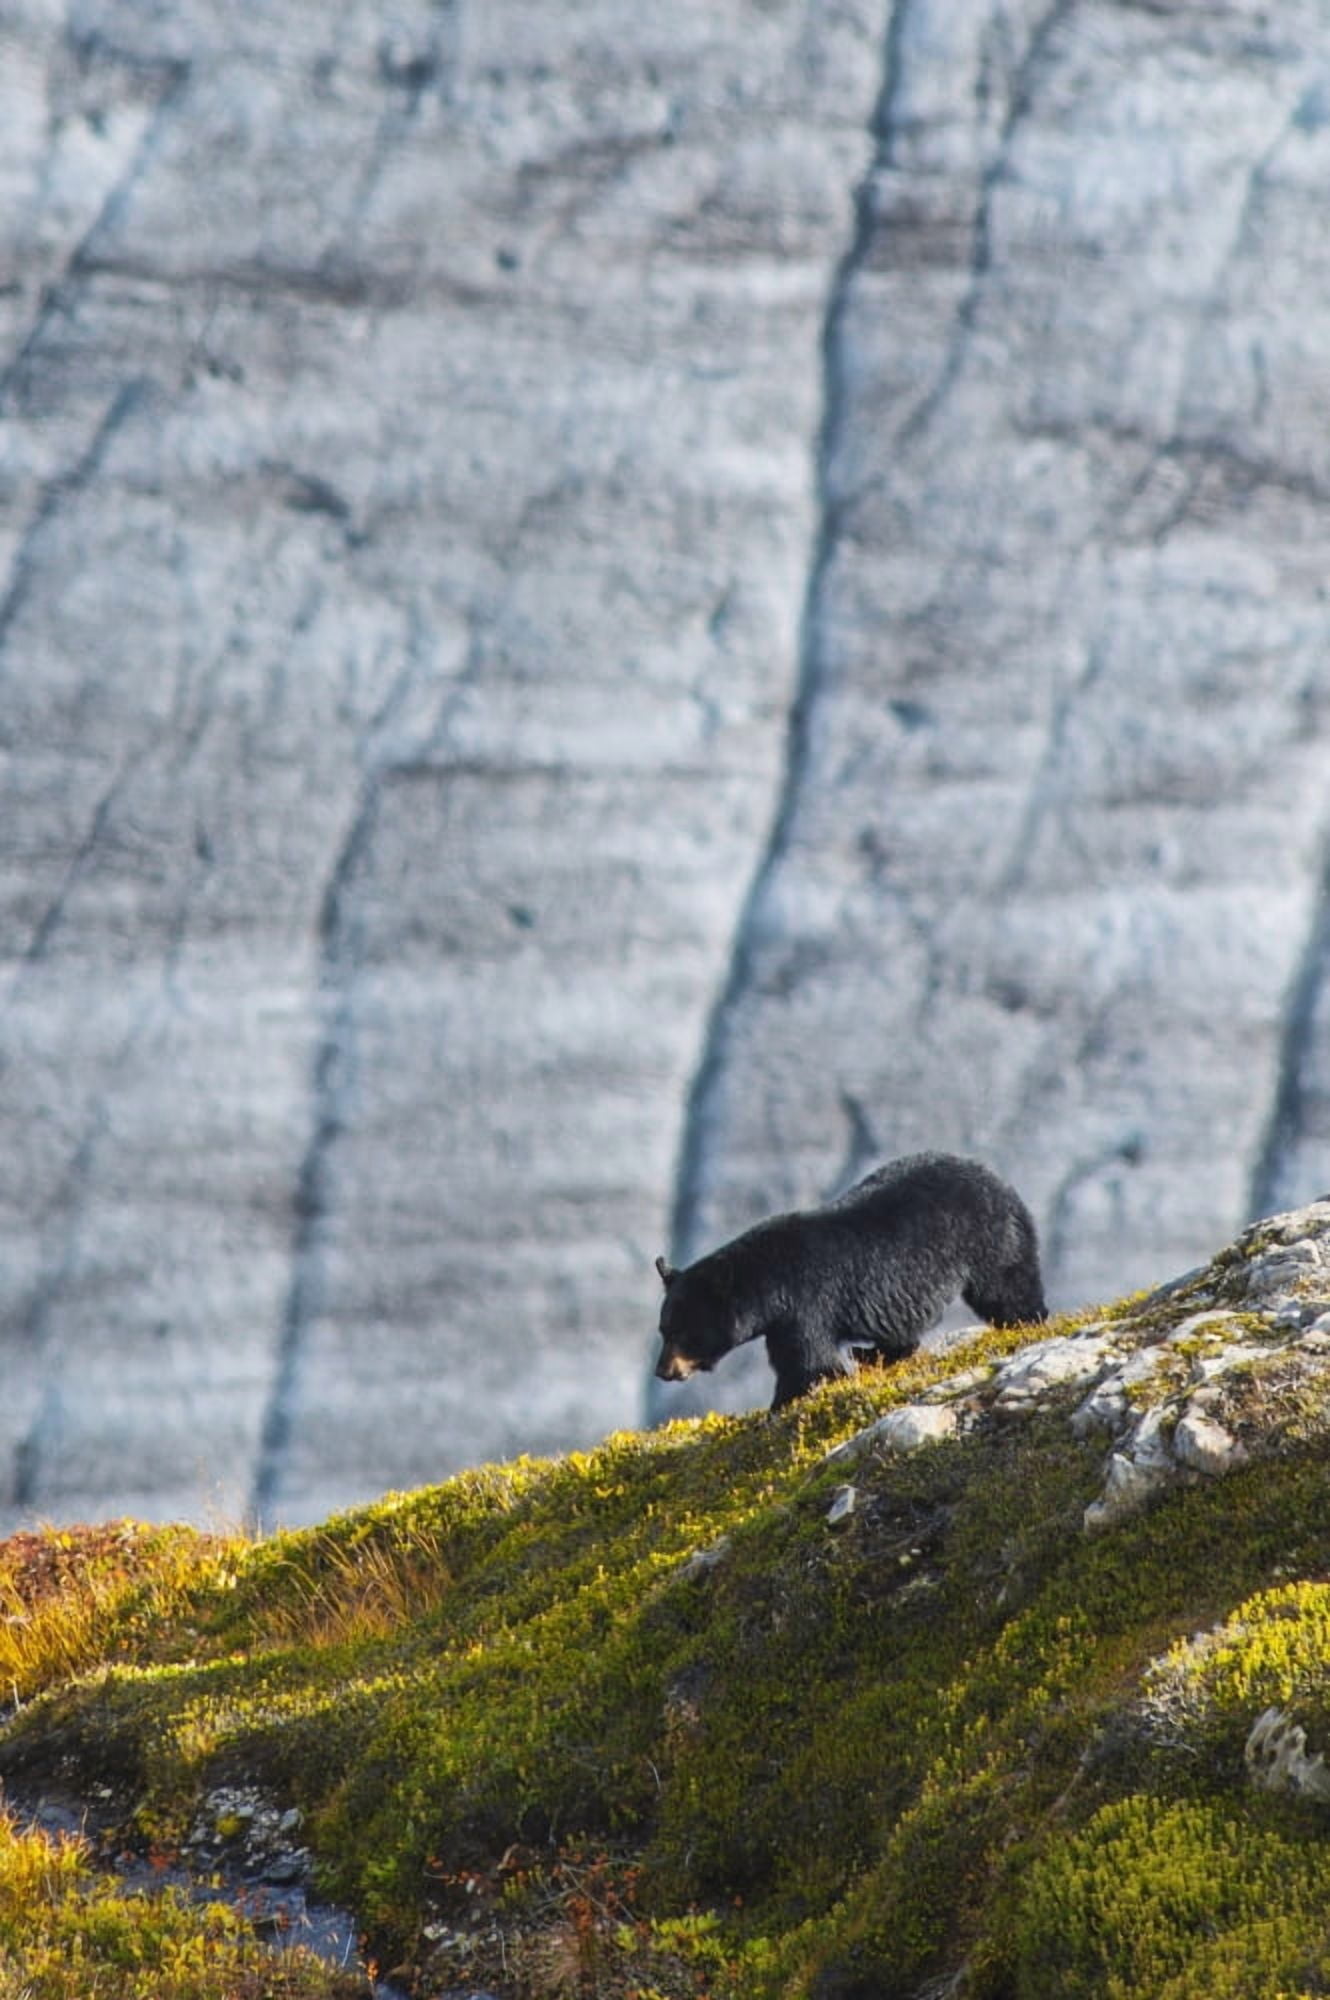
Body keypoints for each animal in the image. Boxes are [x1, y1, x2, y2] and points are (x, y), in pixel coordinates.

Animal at [654, 1151, 1047, 1410]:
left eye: (683, 1332)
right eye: (663, 1330)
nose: (662, 1371)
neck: (767, 1283)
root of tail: (998, 1179)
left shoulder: (805, 1306)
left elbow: (809, 1362)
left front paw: (779, 1404)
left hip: (990, 1239)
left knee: (1007, 1288)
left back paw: (1028, 1321)